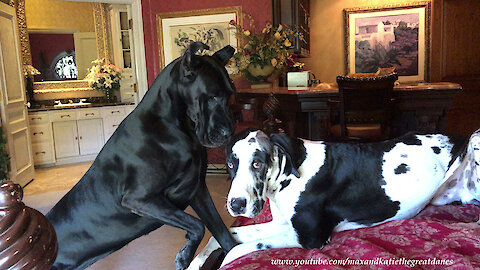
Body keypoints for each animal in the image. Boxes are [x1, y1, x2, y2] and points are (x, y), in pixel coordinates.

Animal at [47, 42, 238, 270]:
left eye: (230, 94)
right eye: (213, 96)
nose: (229, 133)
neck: (175, 126)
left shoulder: (197, 189)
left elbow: (222, 233)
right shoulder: (139, 199)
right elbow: (197, 225)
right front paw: (185, 255)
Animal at [191, 129, 480, 268]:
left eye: (257, 163)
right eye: (230, 164)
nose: (235, 204)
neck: (292, 173)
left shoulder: (309, 238)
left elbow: (236, 250)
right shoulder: (281, 224)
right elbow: (220, 237)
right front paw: (193, 261)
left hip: (476, 138)